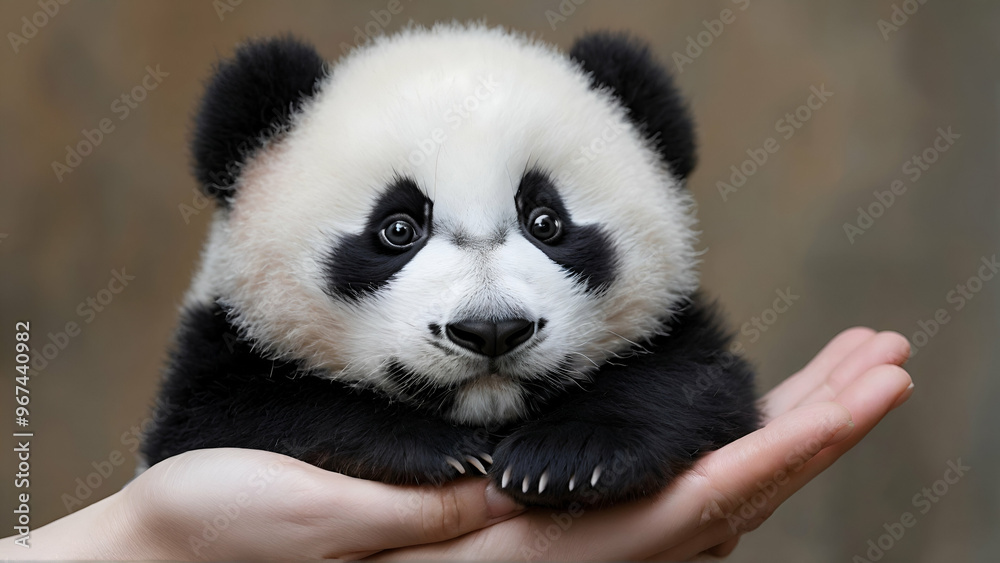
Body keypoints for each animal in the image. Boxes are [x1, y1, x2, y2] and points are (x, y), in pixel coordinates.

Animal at [141, 24, 760, 508]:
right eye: (397, 230)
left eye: (545, 222)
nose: (492, 330)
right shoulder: (216, 352)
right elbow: (238, 420)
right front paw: (438, 450)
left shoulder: (682, 336)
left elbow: (693, 385)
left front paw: (566, 456)